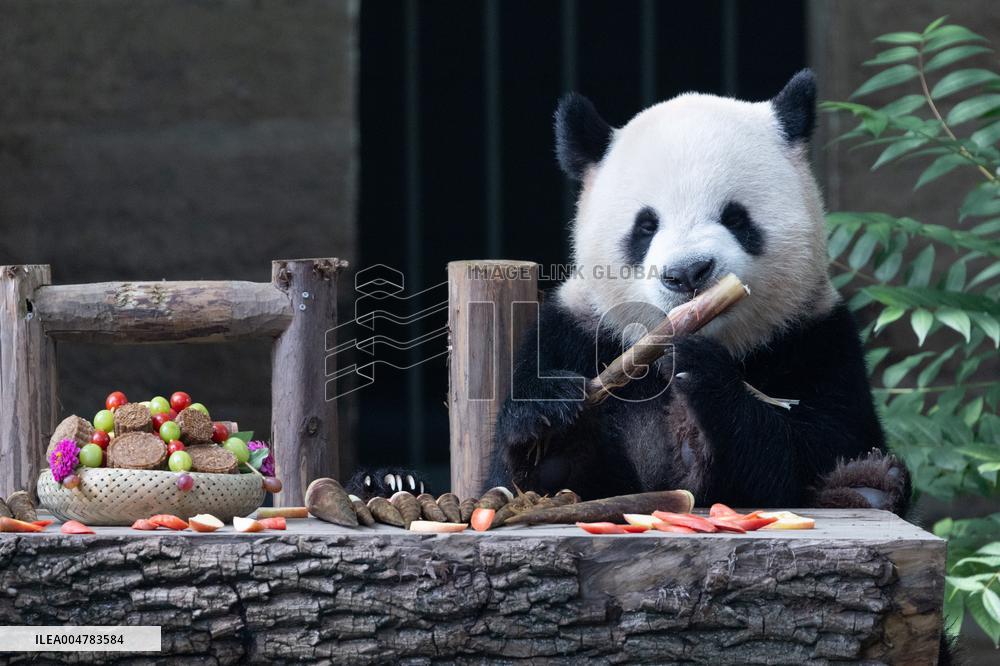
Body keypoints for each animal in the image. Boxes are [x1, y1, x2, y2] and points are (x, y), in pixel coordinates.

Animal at [485, 70, 911, 514]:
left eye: (736, 217)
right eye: (646, 226)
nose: (688, 273)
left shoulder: (816, 339)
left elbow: (815, 447)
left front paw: (699, 369)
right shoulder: (574, 332)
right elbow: (526, 479)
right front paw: (550, 432)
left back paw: (868, 486)